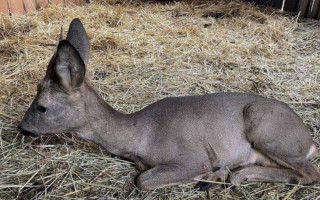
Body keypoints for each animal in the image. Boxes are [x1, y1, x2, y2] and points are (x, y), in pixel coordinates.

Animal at [18, 18, 320, 190]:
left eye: (41, 106)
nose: (21, 128)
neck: (141, 135)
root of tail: (309, 140)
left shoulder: (191, 156)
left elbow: (143, 180)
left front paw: (211, 174)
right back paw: (235, 176)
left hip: (266, 130)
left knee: (309, 172)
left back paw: (229, 177)